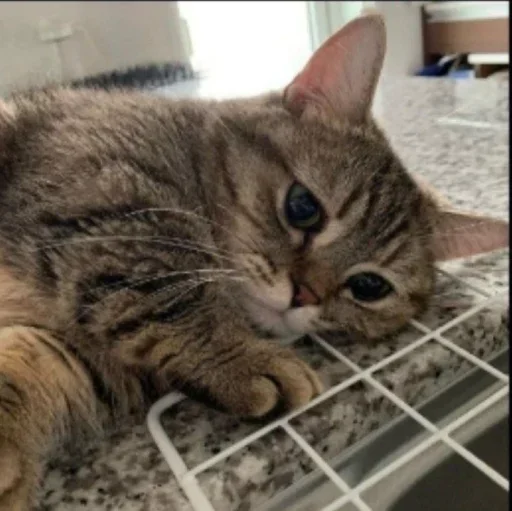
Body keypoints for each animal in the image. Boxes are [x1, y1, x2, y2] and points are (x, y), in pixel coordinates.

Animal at [0, 15, 507, 510]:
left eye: (369, 287)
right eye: (303, 207)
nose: (303, 295)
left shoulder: (86, 356)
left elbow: (35, 362)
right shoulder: (109, 197)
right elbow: (168, 288)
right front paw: (241, 357)